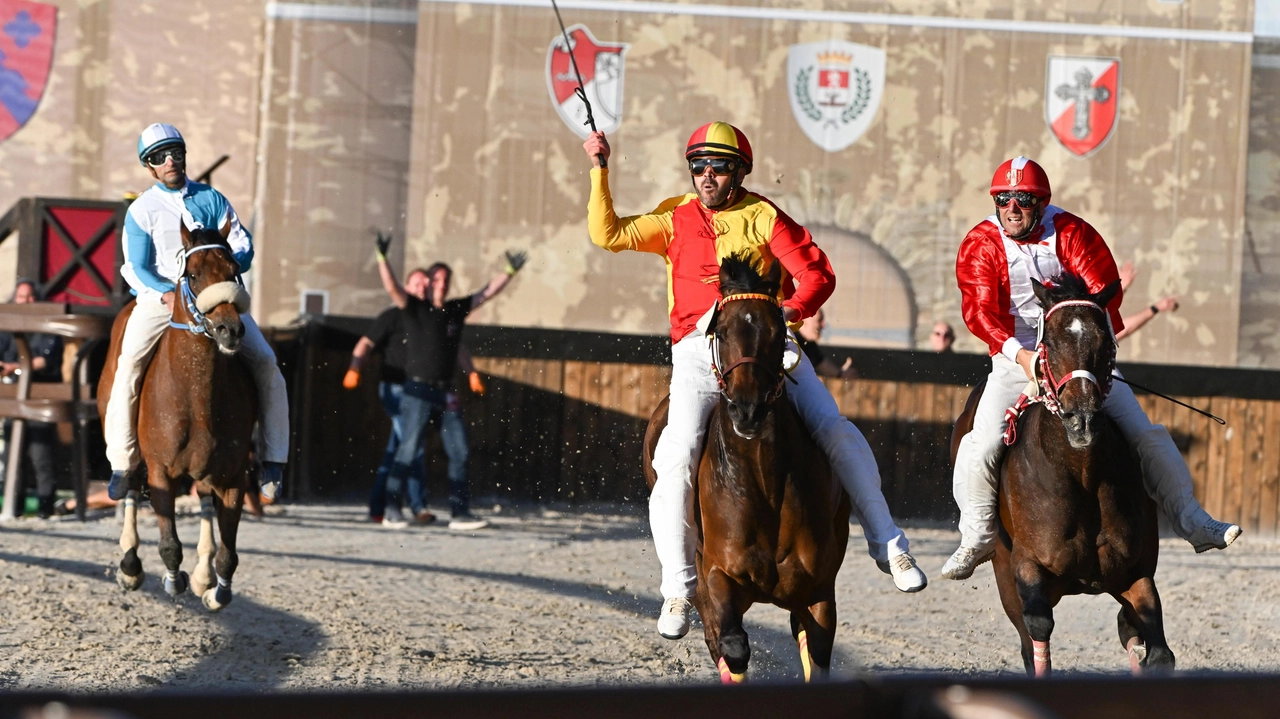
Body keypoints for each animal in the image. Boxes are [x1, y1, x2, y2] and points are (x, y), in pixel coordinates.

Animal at [101, 221, 259, 606]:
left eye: (234, 270)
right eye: (193, 273)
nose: (229, 330)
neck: (196, 397)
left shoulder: (234, 475)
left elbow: (229, 555)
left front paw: (216, 591)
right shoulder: (160, 471)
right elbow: (170, 544)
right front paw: (173, 581)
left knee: (203, 498)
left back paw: (203, 575)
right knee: (129, 482)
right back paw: (131, 565)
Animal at [640, 255, 849, 680]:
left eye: (778, 330)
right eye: (720, 331)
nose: (748, 410)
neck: (763, 481)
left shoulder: (819, 590)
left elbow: (816, 650)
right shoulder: (719, 575)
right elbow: (733, 645)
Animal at [952, 271, 1172, 675]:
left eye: (1105, 340)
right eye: (1049, 343)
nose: (1082, 419)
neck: (1082, 477)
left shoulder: (1136, 573)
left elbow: (1158, 649)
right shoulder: (1027, 567)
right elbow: (1038, 627)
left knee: (1128, 628)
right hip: (1003, 568)